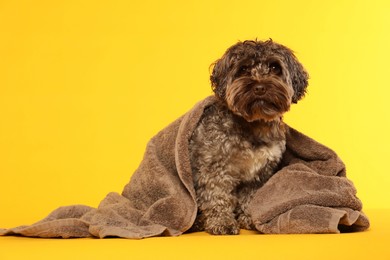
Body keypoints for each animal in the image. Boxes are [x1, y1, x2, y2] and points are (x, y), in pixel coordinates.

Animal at [188, 39, 308, 236]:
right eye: (243, 69)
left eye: (274, 67)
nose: (259, 87)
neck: (254, 126)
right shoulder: (214, 168)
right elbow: (217, 196)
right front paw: (222, 222)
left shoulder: (259, 173)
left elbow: (250, 197)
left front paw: (249, 219)